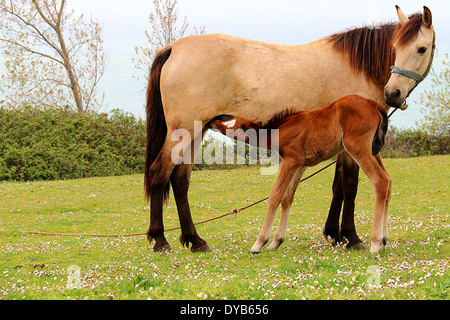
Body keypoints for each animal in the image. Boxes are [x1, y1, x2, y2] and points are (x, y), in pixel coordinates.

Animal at [144, 5, 432, 252]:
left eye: (421, 48)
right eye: (396, 47)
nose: (393, 94)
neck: (357, 65)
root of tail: (173, 48)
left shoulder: (340, 147)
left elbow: (338, 187)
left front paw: (335, 233)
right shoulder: (350, 147)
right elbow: (349, 185)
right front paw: (351, 236)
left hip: (196, 131)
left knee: (180, 180)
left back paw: (195, 240)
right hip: (183, 132)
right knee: (159, 173)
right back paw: (160, 240)